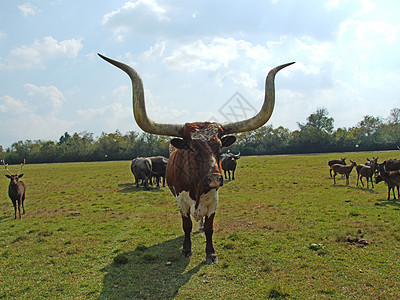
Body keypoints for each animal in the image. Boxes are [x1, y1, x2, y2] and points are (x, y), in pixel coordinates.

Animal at [100, 52, 294, 264]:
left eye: (219, 147)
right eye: (192, 148)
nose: (215, 178)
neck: (198, 188)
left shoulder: (214, 201)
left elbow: (210, 227)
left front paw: (211, 253)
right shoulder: (181, 201)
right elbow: (186, 226)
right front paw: (187, 249)